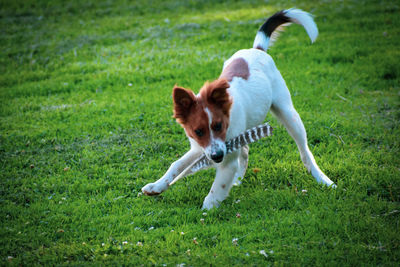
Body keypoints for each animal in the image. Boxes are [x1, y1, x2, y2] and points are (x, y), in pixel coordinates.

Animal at [142, 8, 336, 210]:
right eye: (198, 131)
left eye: (218, 126)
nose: (217, 156)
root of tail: (256, 49)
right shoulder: (200, 148)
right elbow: (176, 165)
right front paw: (157, 185)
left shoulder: (225, 159)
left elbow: (217, 187)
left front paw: (207, 210)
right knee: (246, 150)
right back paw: (238, 179)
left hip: (289, 114)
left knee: (305, 152)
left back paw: (323, 179)